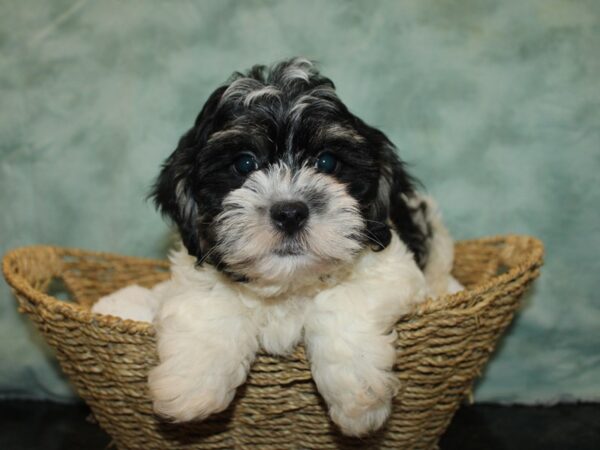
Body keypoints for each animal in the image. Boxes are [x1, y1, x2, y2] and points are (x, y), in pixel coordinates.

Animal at [92, 58, 460, 438]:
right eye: (244, 163)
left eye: (326, 162)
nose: (290, 212)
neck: (287, 285)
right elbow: (212, 303)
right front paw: (191, 386)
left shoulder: (390, 266)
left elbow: (343, 302)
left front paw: (357, 399)